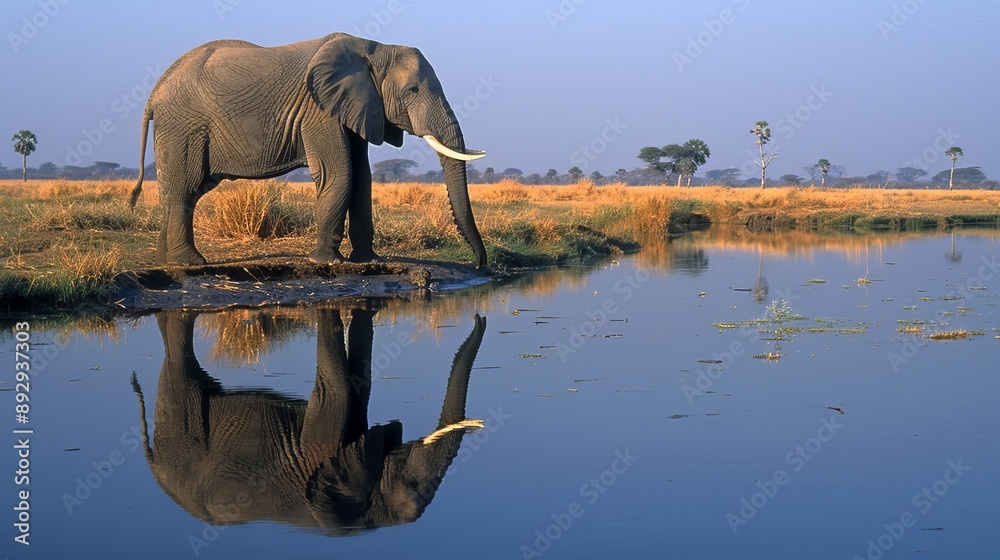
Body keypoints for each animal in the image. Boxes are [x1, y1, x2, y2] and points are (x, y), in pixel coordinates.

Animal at [129, 33, 488, 268]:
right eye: (412, 90)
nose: (480, 264)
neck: (374, 49)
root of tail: (154, 93)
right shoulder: (319, 110)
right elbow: (340, 174)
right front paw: (326, 262)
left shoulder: (355, 107)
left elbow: (363, 178)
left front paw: (366, 260)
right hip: (184, 126)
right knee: (185, 188)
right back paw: (190, 265)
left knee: (183, 191)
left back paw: (164, 261)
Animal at [130, 306, 487, 533]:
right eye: (412, 486)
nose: (478, 315)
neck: (369, 520)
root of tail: (154, 466)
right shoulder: (320, 447)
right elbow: (339, 391)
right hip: (182, 428)